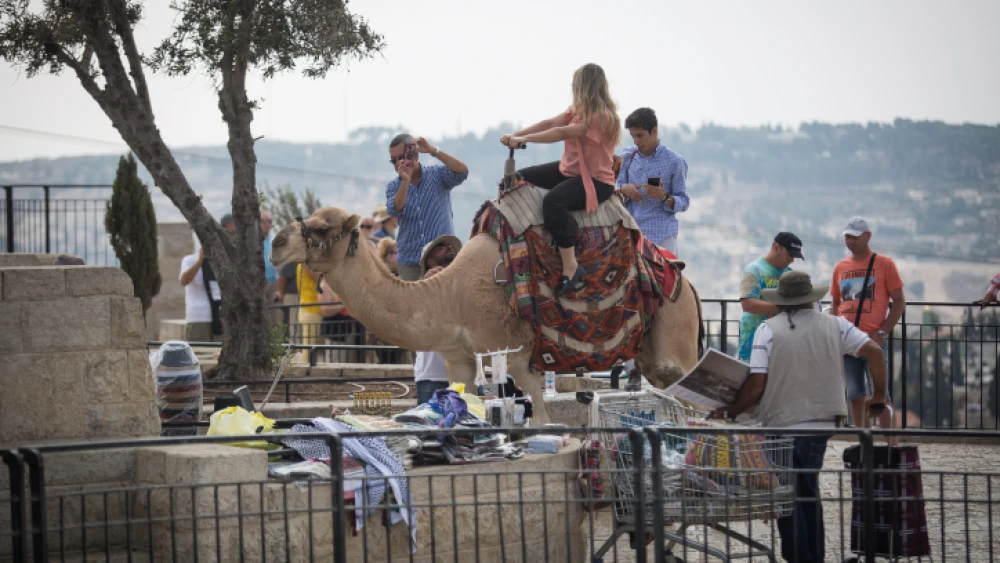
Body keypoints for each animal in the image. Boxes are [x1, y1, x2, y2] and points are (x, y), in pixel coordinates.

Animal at [270, 207, 705, 424]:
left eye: (320, 227)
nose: (275, 244)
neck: (449, 296)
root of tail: (687, 282)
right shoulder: (459, 358)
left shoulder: (518, 357)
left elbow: (540, 419)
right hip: (647, 352)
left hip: (675, 335)